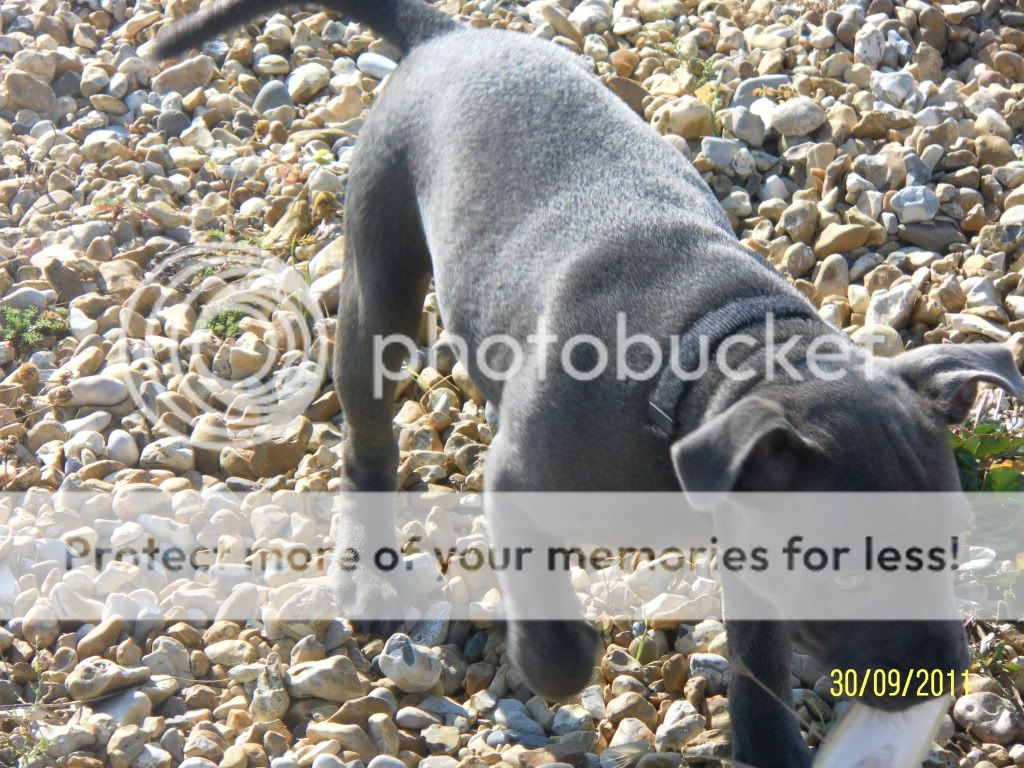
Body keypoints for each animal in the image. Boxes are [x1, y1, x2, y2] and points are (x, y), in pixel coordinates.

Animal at [155, 3, 1024, 765]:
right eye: (849, 569)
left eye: (953, 546)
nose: (943, 677)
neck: (708, 351)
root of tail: (449, 35)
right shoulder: (517, 483)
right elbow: (549, 610)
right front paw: (552, 663)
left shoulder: (746, 533)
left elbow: (761, 660)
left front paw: (770, 748)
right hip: (380, 279)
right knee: (367, 435)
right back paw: (368, 577)